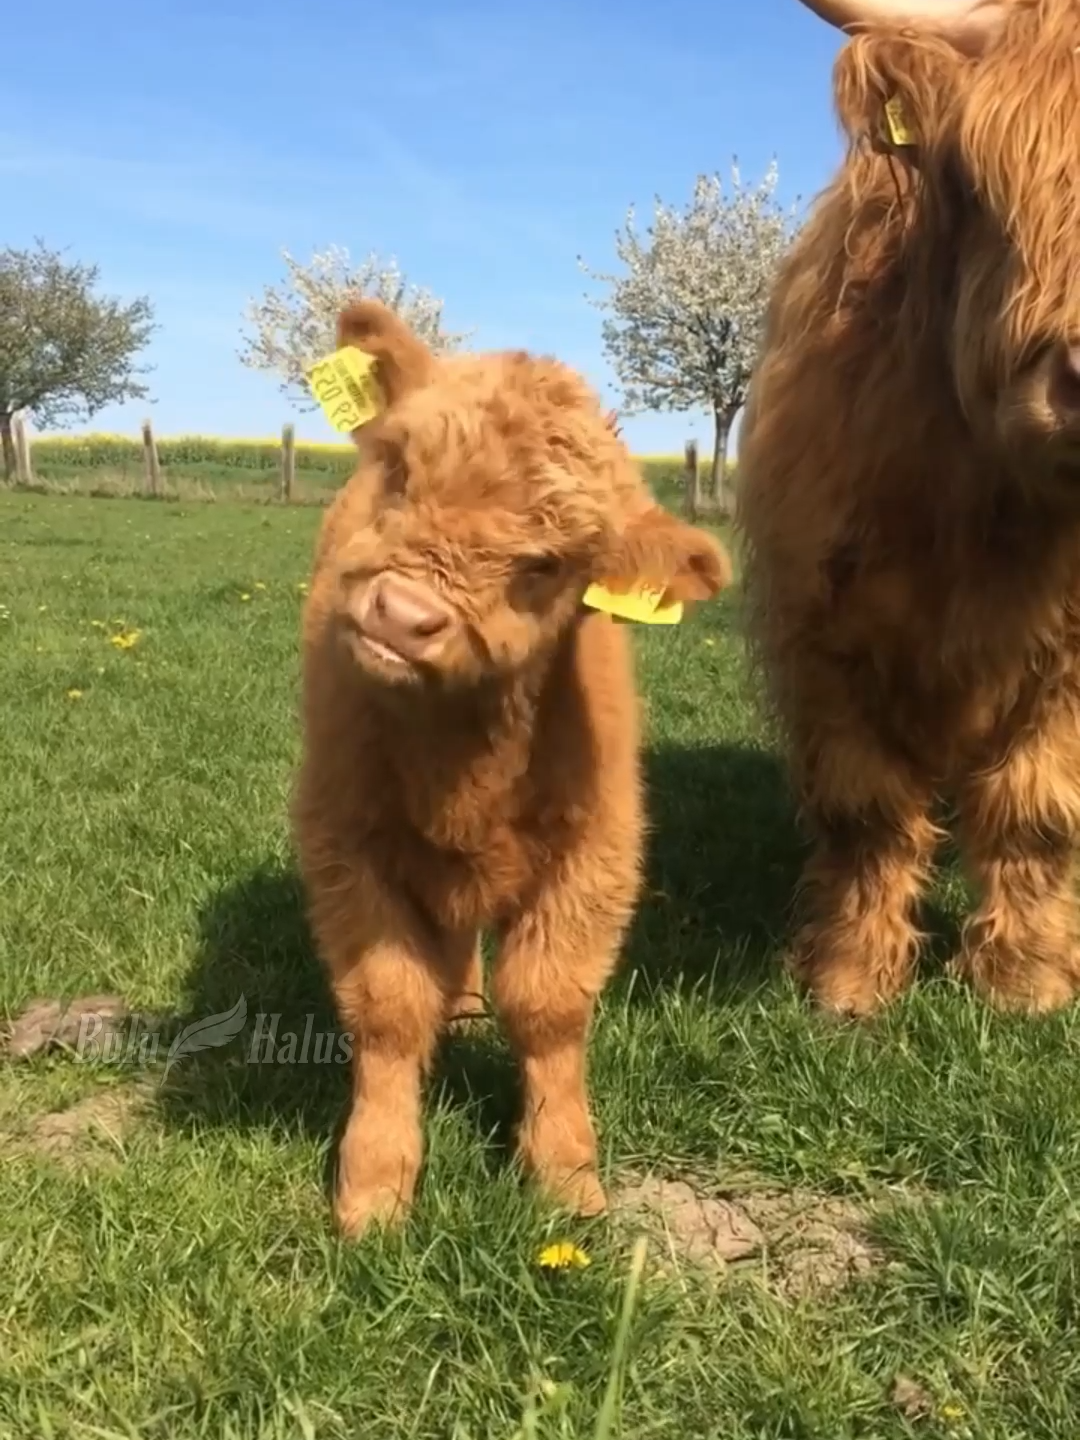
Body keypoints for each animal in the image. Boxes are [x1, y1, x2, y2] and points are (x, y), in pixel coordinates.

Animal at [292, 298, 731, 1232]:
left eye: (546, 564)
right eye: (399, 466)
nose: (401, 613)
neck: (464, 764)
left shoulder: (598, 854)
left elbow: (548, 1005)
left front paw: (565, 1174)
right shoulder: (344, 843)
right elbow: (389, 1006)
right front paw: (373, 1186)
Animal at [743, 0, 1080, 1019]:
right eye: (976, 176)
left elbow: (1036, 810)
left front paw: (1025, 980)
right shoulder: (822, 628)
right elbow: (867, 810)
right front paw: (849, 980)